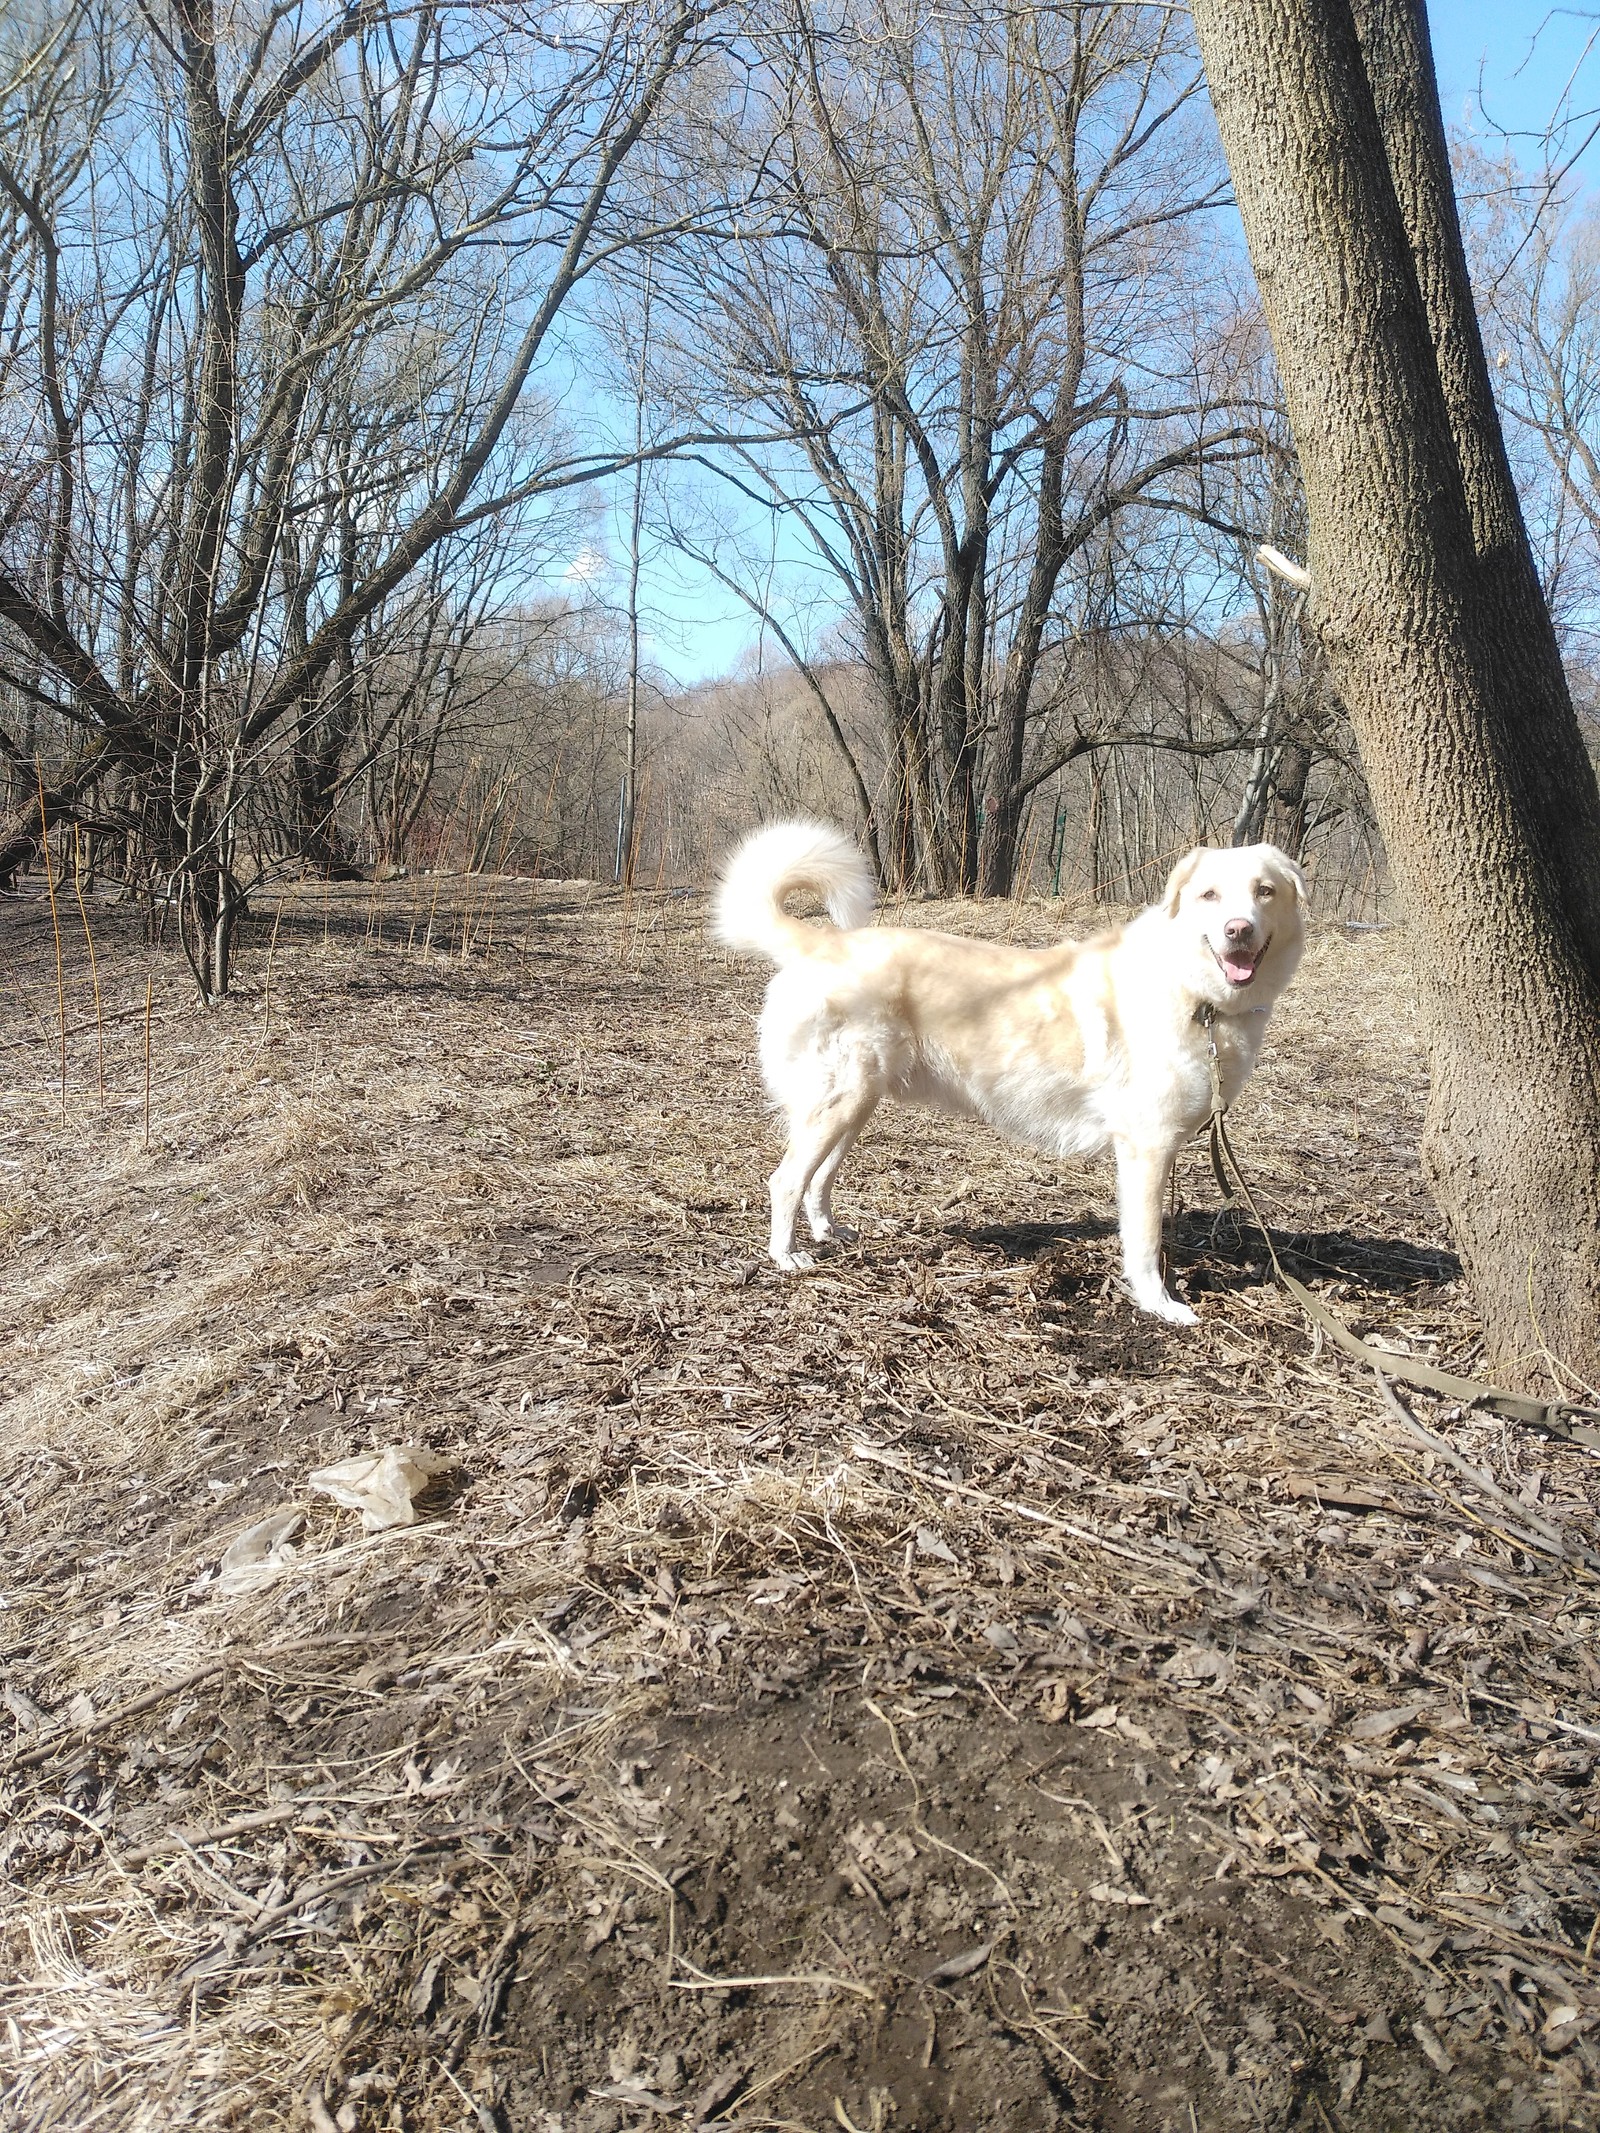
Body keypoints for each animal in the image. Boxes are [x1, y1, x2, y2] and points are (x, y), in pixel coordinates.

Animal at [721, 823, 1305, 1322]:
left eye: (1265, 892)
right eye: (1209, 895)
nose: (1238, 930)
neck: (1197, 996)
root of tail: (821, 942)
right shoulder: (1147, 1148)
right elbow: (1144, 1243)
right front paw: (1159, 1305)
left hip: (854, 1104)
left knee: (818, 1179)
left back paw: (829, 1232)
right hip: (840, 1100)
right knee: (785, 1181)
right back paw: (787, 1256)